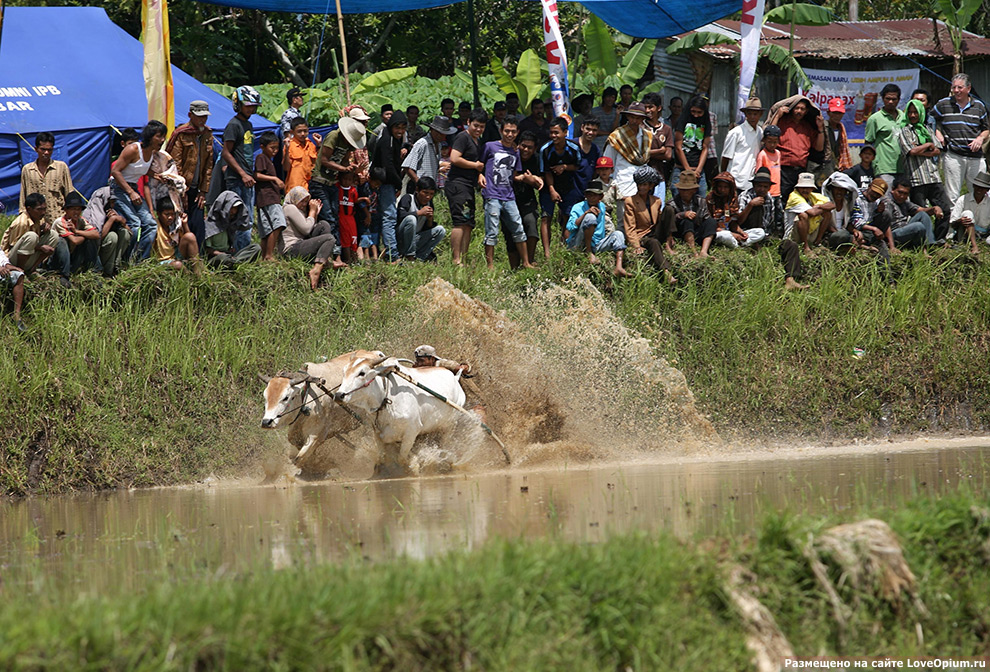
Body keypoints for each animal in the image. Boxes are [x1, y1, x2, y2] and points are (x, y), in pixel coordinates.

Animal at [336, 352, 466, 468]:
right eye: (343, 372)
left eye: (362, 373)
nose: (338, 395)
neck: (386, 398)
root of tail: (455, 379)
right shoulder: (377, 434)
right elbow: (381, 458)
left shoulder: (411, 432)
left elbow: (402, 459)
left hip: (450, 426)